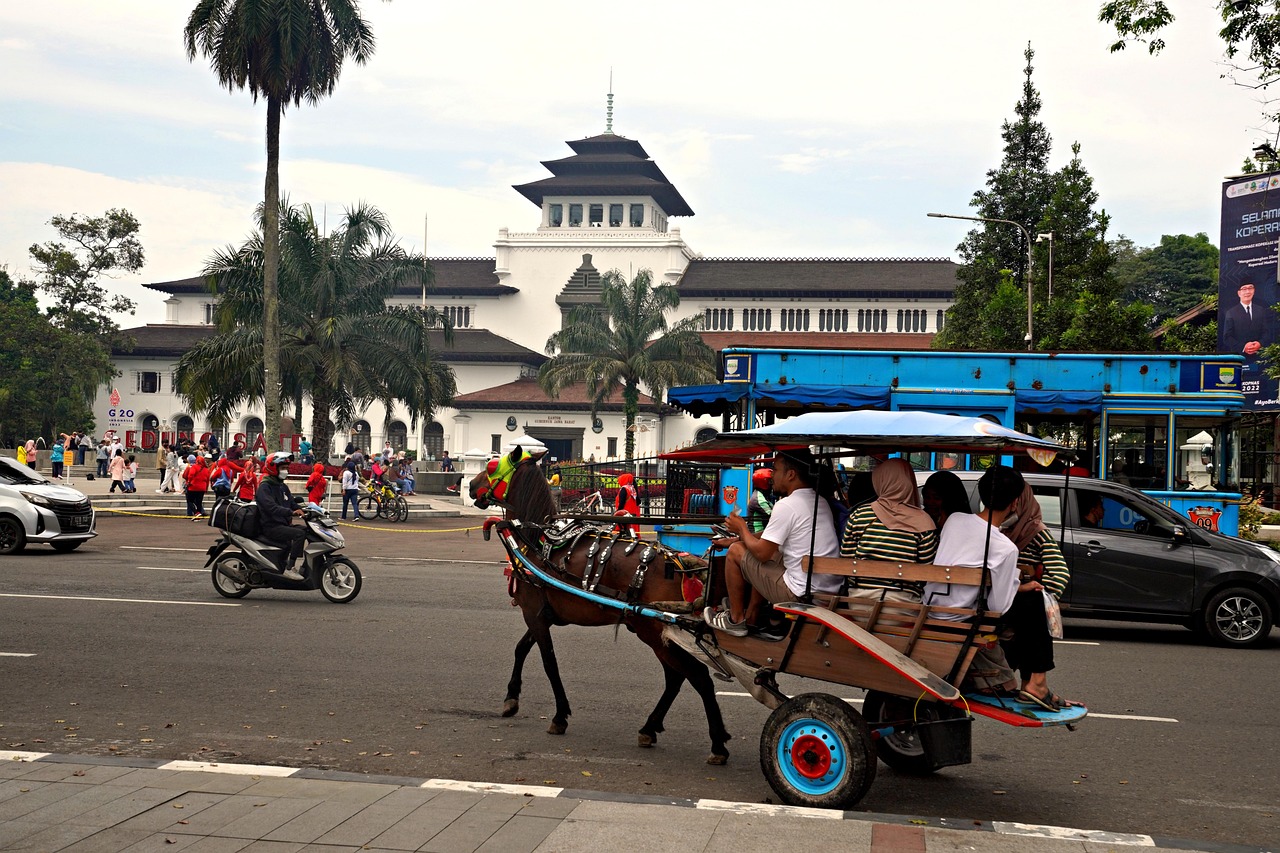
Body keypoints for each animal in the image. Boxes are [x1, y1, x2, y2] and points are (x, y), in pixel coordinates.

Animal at [471, 448, 732, 758]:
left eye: (491, 466)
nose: (471, 485)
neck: (537, 540)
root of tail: (682, 564)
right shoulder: (542, 615)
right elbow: (521, 649)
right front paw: (511, 697)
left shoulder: (533, 614)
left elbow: (549, 663)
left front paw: (560, 716)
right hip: (657, 633)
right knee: (676, 677)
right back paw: (650, 728)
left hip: (653, 631)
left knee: (697, 676)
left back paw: (716, 743)